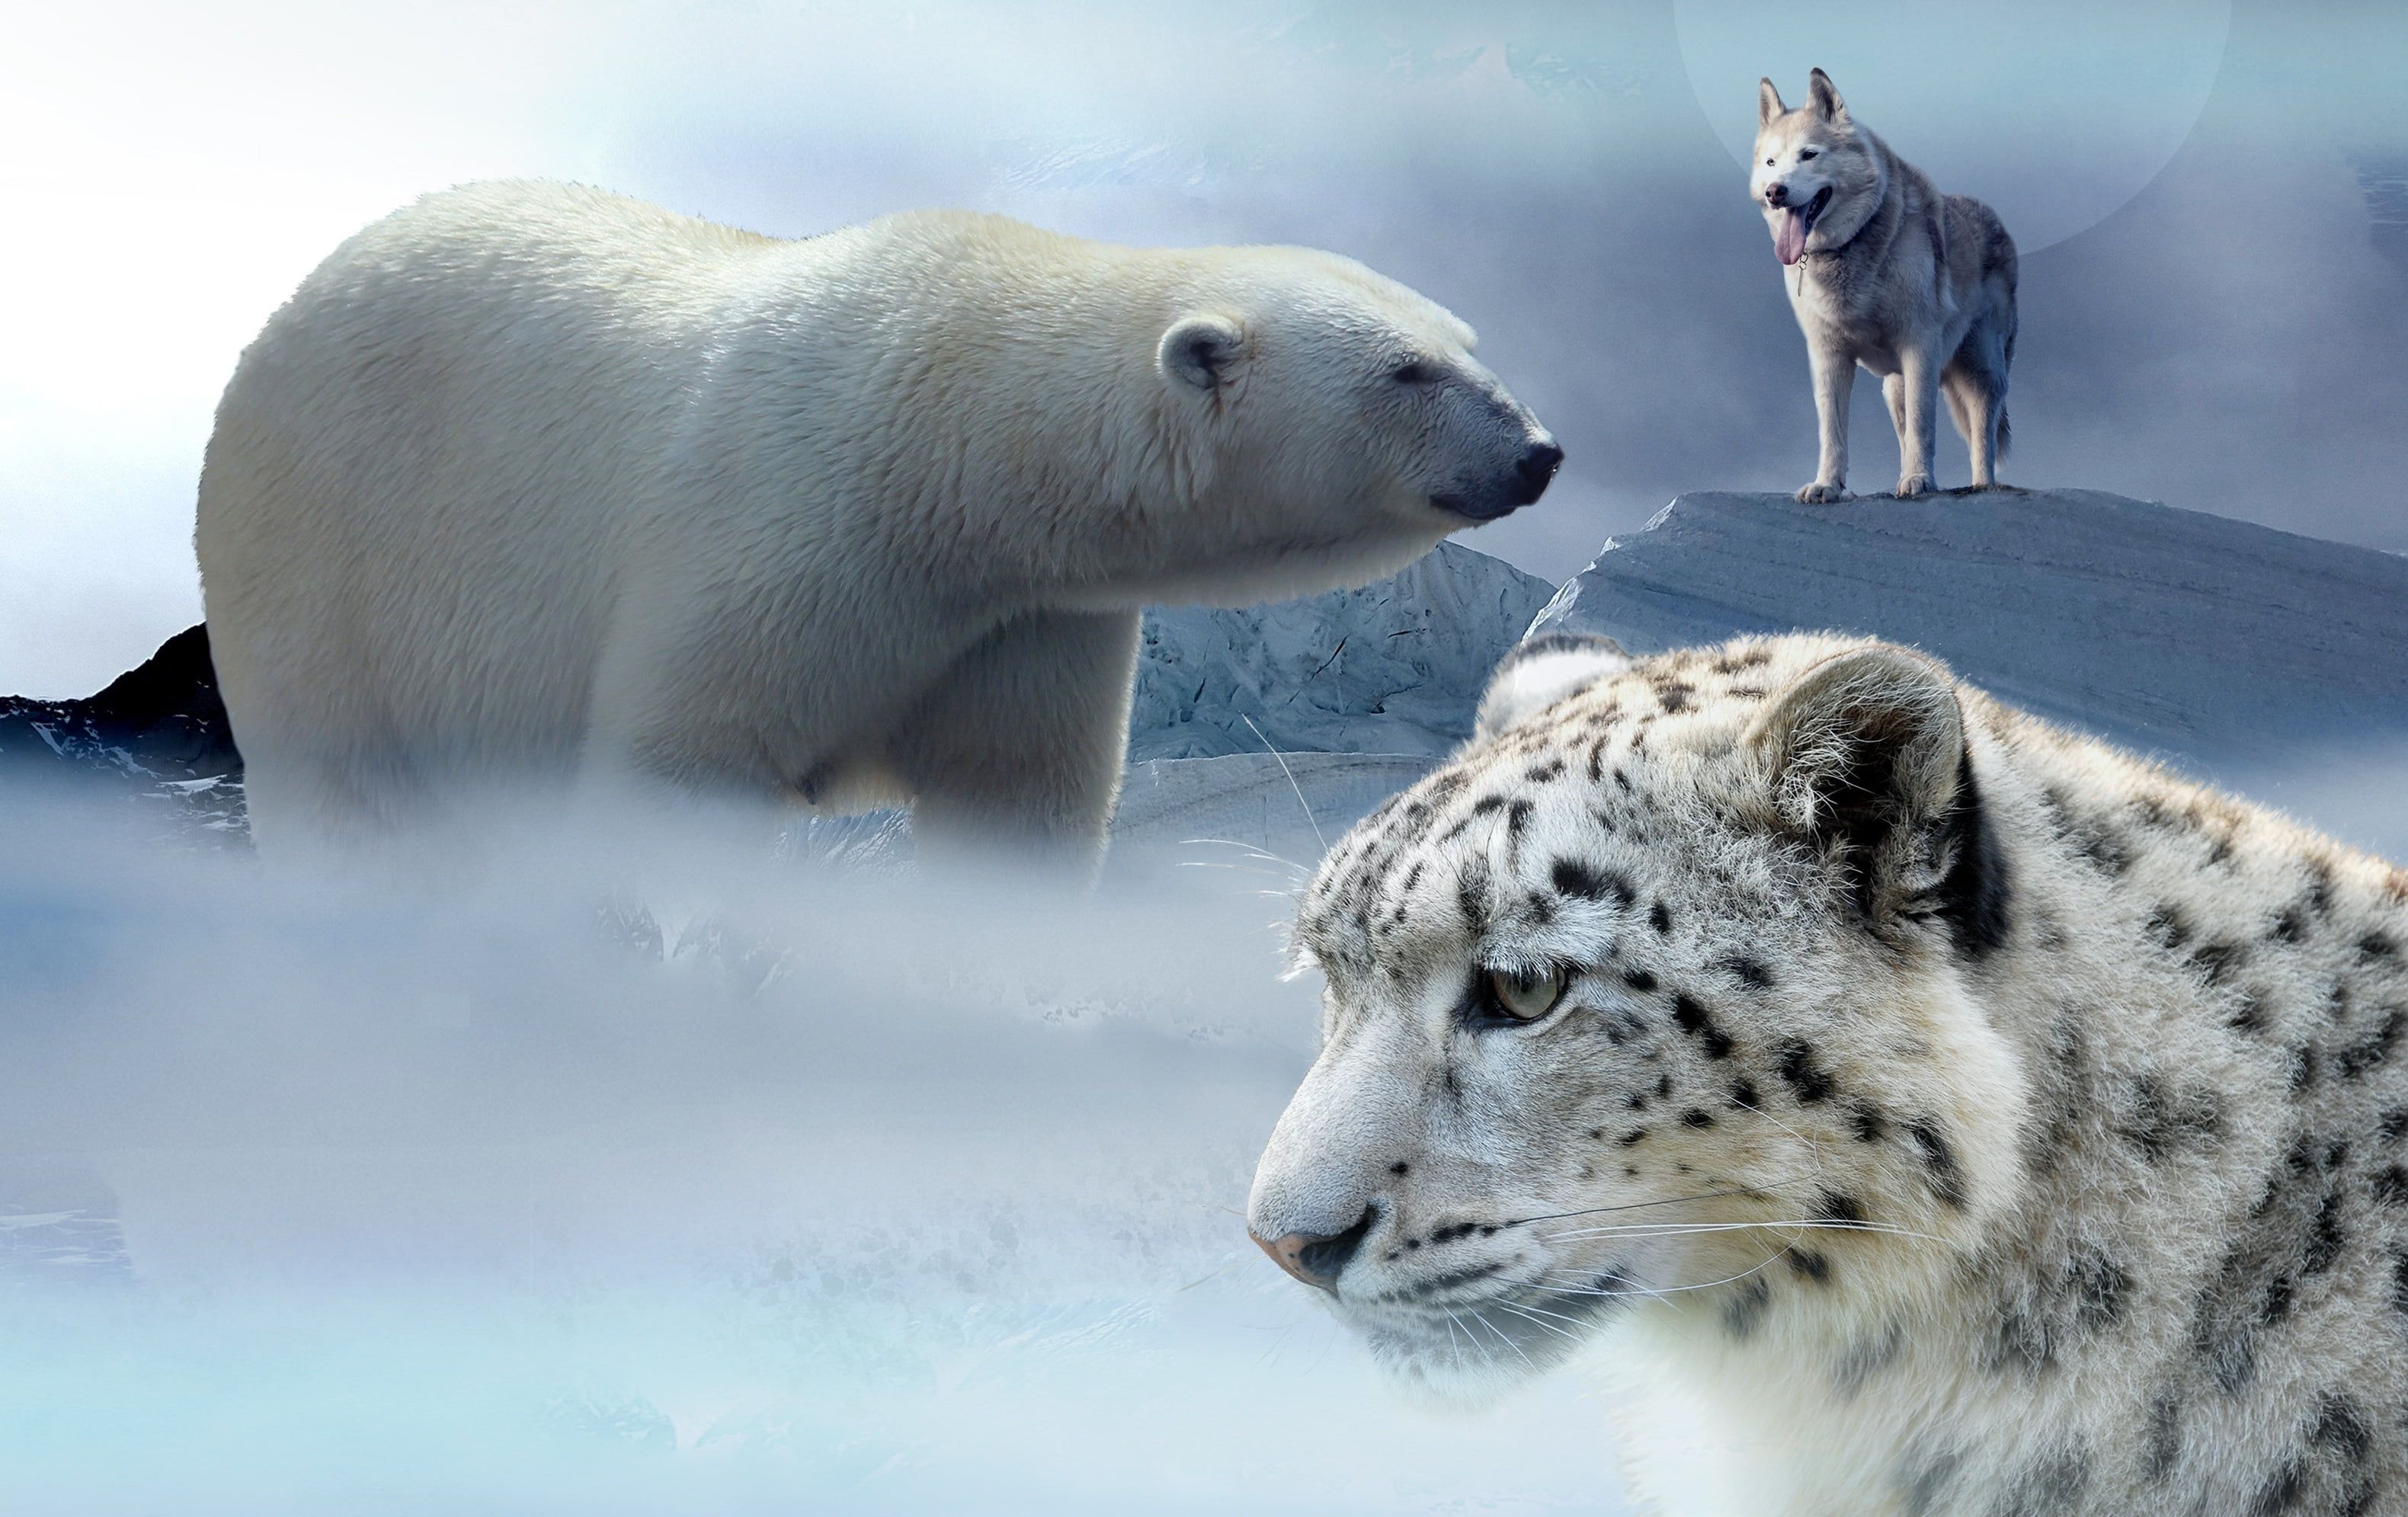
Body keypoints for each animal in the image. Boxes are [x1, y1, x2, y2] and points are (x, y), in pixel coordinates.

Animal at [194, 181, 1561, 868]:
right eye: (1405, 371)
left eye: (1470, 343)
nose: (1538, 452)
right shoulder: (785, 523)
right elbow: (687, 759)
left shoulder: (1025, 614)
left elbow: (1016, 797)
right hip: (326, 555)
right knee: (347, 783)